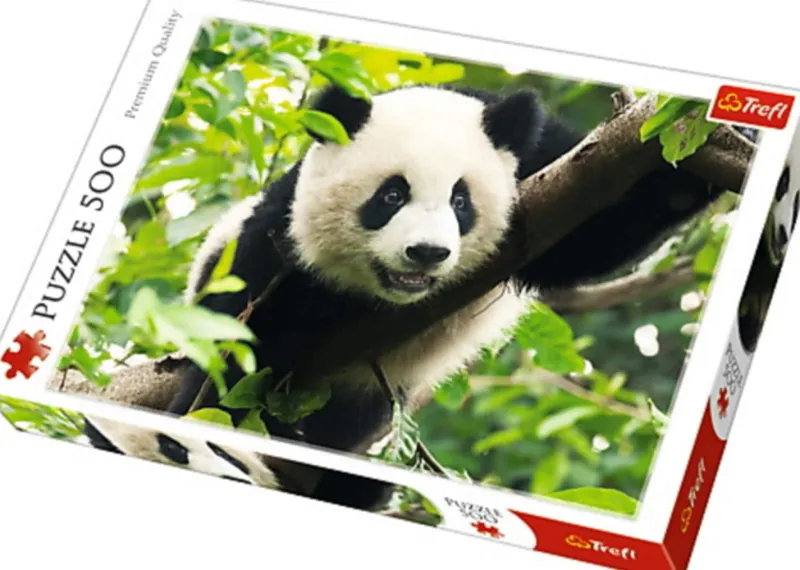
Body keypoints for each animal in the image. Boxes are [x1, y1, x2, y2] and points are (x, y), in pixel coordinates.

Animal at [86, 83, 736, 511]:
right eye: (390, 196)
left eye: (460, 200)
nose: (426, 254)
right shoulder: (277, 234)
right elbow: (242, 340)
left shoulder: (547, 168)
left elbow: (593, 235)